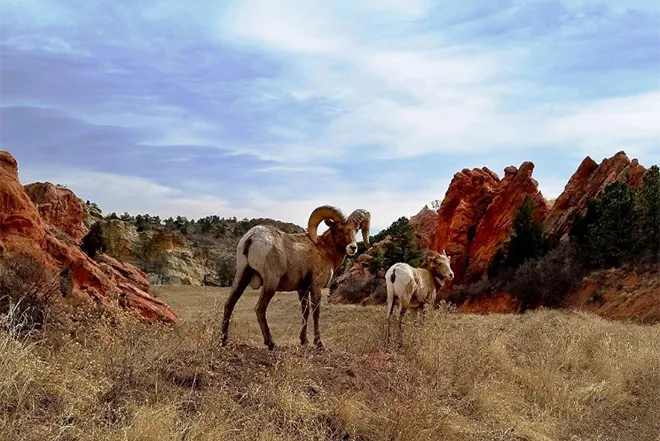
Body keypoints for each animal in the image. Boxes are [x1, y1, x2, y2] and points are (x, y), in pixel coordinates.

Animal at [219, 205, 368, 348]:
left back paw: (223, 340)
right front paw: (318, 343)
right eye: (339, 228)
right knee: (260, 309)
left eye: (356, 230)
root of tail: (252, 237)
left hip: (241, 277)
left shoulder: (302, 290)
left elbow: (305, 312)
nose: (353, 247)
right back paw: (271, 343)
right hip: (270, 283)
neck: (325, 250)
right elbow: (316, 313)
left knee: (229, 304)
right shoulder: (316, 287)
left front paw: (304, 341)